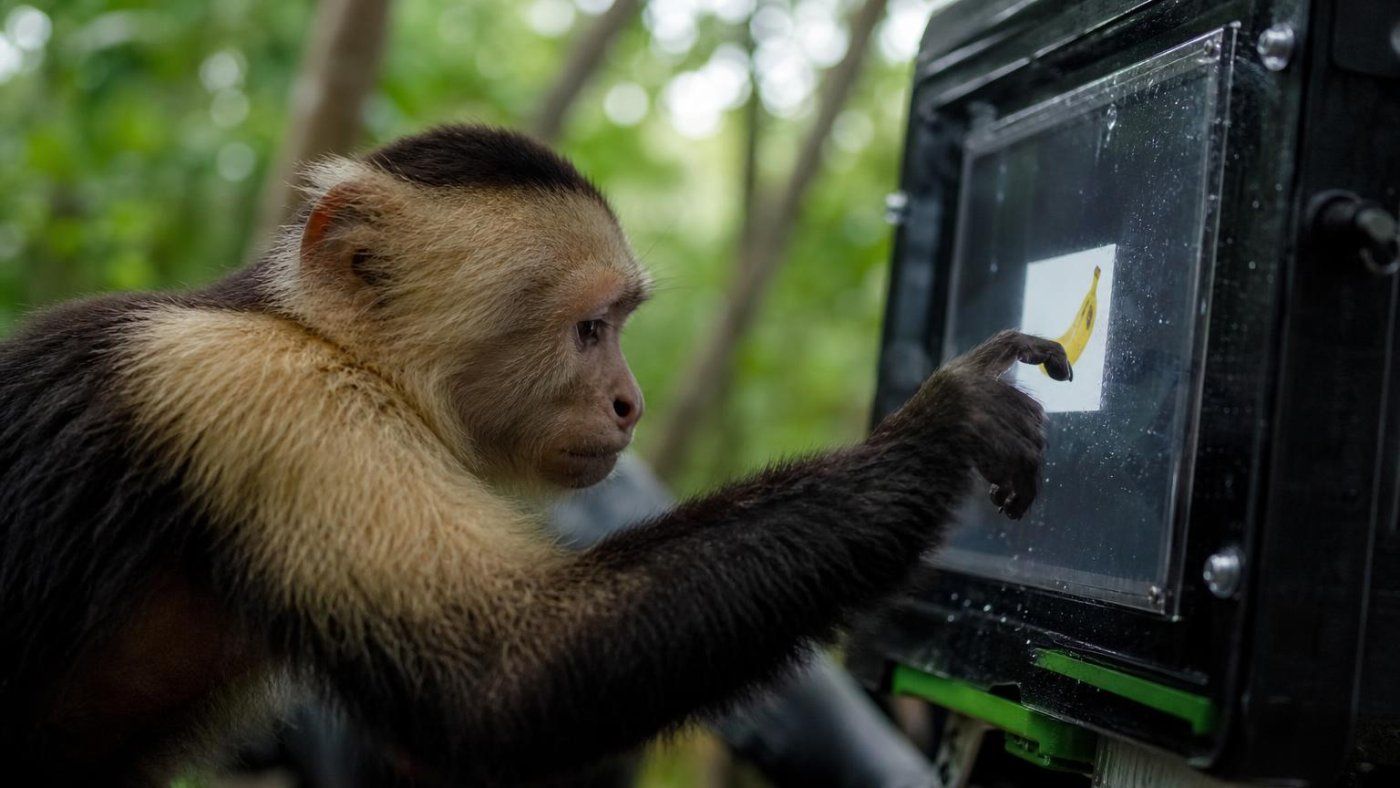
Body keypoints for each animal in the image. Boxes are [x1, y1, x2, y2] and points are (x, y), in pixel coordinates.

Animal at [0, 124, 1070, 785]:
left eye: (621, 328)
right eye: (591, 330)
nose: (631, 405)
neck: (319, 338)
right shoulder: (272, 396)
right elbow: (503, 679)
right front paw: (938, 432)